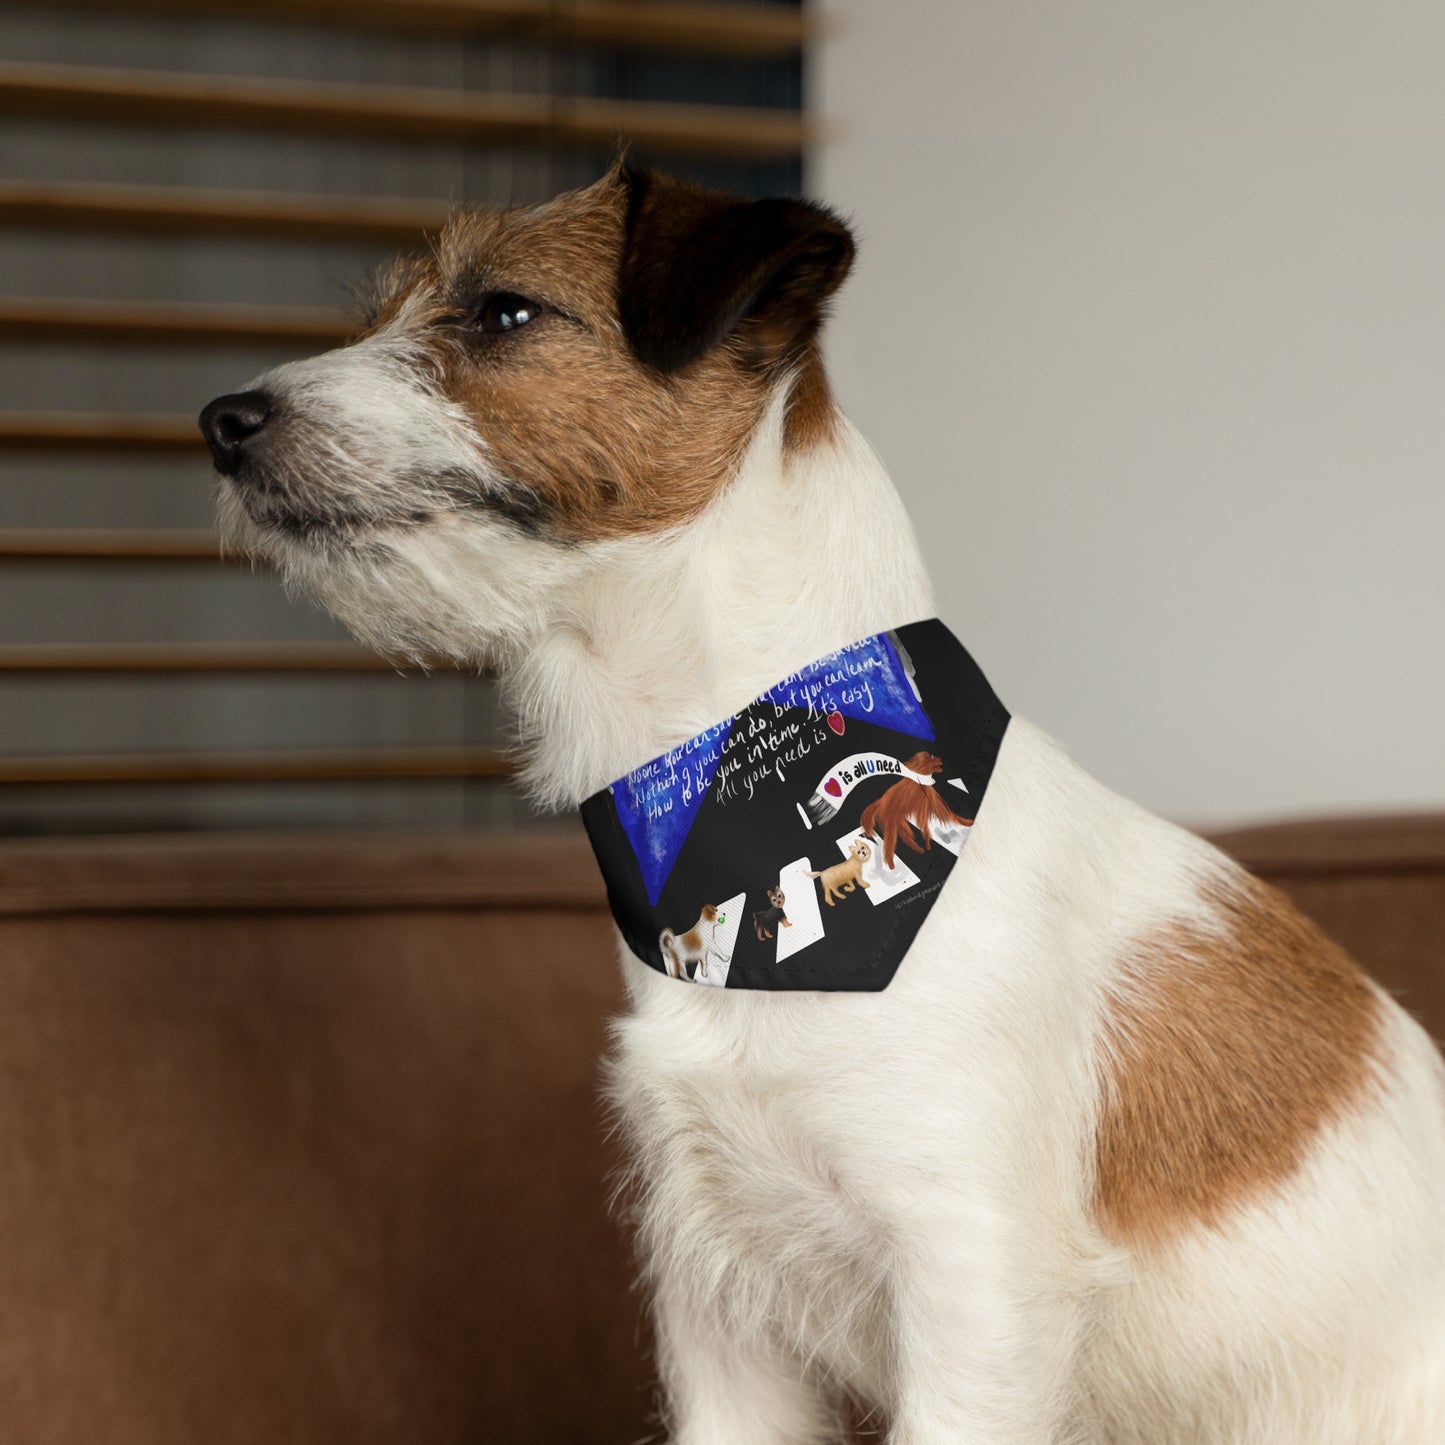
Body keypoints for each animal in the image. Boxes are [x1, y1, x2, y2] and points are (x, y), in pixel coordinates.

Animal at [200, 161, 1445, 1445]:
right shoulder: (717, 1307)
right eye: (384, 312)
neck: (735, 805)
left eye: (502, 310)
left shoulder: (972, 1293)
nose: (222, 422)